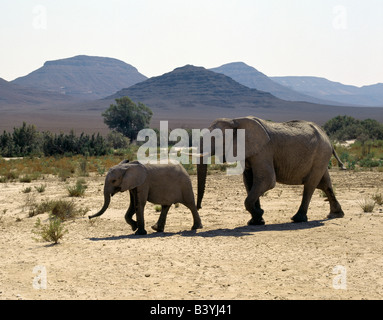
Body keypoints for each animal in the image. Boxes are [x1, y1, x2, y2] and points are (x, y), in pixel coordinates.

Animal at [196, 117, 346, 225]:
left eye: (217, 137)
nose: (199, 208)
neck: (235, 121)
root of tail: (328, 139)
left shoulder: (263, 151)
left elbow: (267, 180)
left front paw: (260, 214)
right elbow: (249, 182)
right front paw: (256, 221)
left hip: (321, 153)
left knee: (310, 185)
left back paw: (297, 219)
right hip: (321, 157)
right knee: (325, 184)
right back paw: (336, 214)